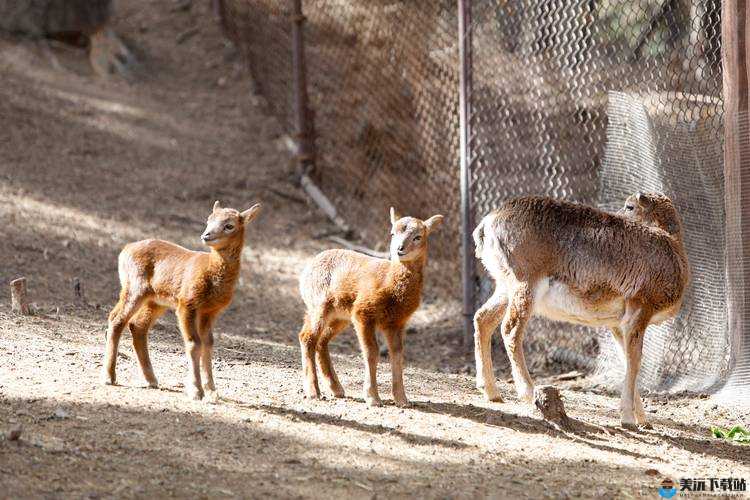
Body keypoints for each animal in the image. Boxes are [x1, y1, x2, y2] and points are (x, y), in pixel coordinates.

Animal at [103, 201, 262, 400]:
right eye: (209, 220)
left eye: (229, 225)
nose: (206, 235)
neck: (210, 273)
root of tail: (124, 250)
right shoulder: (187, 302)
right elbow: (194, 343)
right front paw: (196, 391)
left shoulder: (210, 311)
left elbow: (208, 343)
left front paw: (212, 391)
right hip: (134, 287)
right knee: (117, 318)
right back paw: (109, 377)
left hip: (156, 300)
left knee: (137, 325)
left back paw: (151, 379)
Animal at [472, 193, 692, 428]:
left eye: (629, 206)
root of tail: (488, 223)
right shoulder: (639, 313)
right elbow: (634, 363)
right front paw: (628, 420)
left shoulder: (618, 325)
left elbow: (627, 361)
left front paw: (643, 420)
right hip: (525, 287)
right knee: (510, 330)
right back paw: (529, 393)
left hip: (505, 289)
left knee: (482, 319)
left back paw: (492, 393)